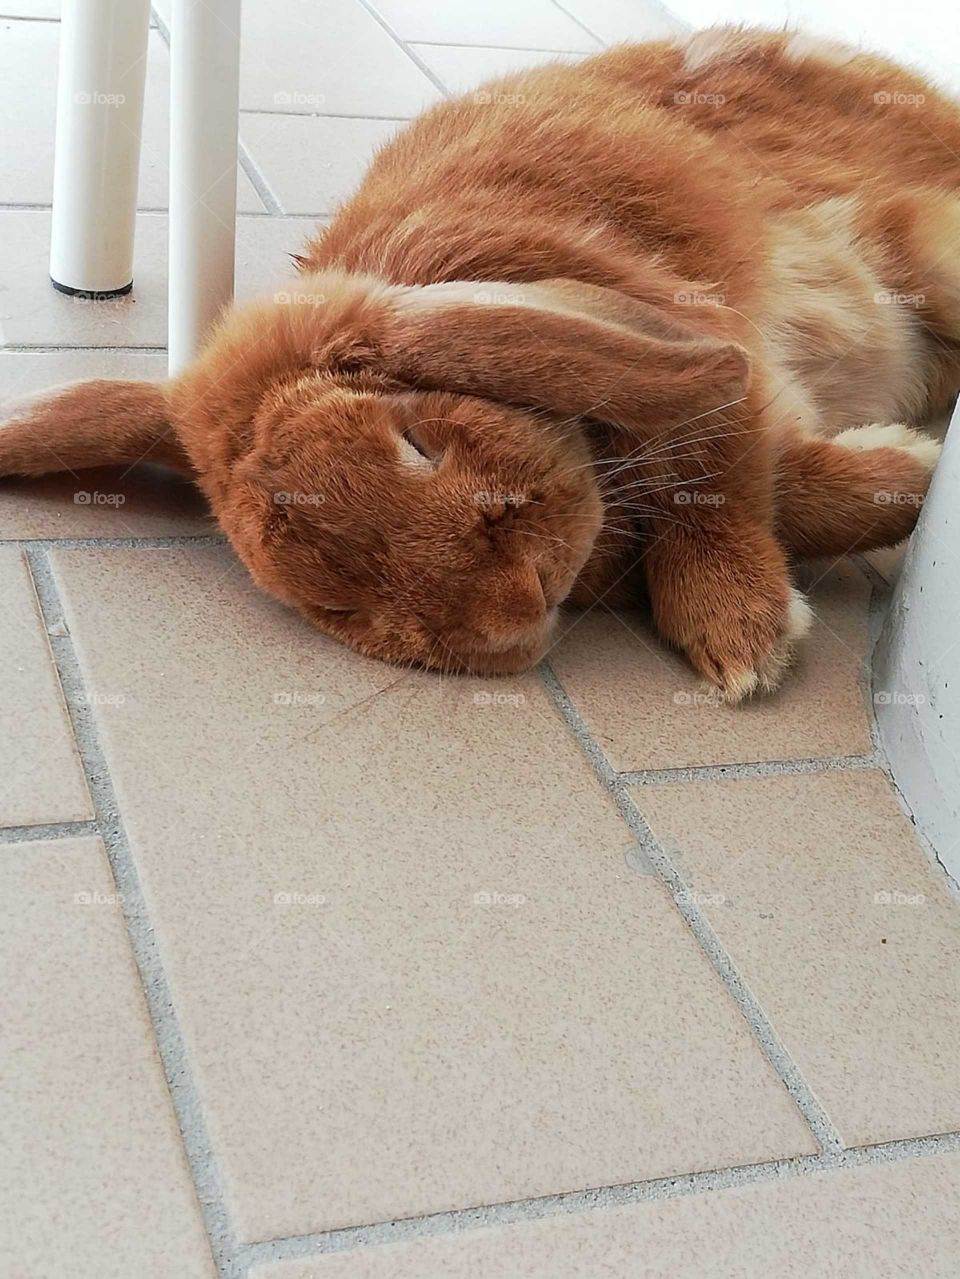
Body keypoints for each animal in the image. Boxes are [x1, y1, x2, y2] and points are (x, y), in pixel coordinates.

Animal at [2, 27, 957, 698]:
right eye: (336, 606)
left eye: (415, 442)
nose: (521, 602)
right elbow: (780, 486)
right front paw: (908, 474)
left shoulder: (713, 351)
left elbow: (713, 479)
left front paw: (744, 637)